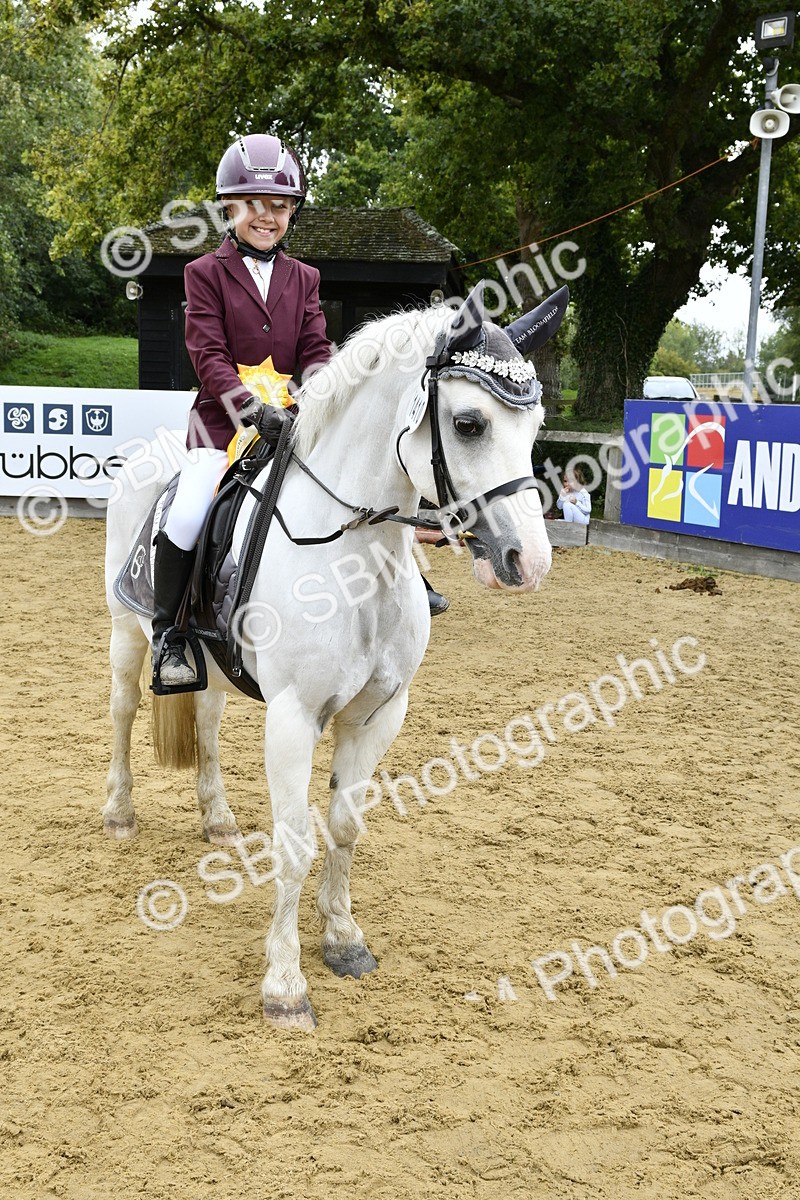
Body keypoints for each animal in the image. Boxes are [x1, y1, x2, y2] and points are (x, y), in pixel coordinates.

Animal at [103, 281, 566, 1031]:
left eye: (534, 427)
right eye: (469, 423)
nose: (529, 562)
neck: (357, 560)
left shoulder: (378, 715)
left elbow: (346, 826)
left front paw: (344, 938)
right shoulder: (292, 718)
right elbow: (295, 844)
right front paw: (285, 984)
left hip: (210, 666)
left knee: (205, 721)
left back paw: (217, 818)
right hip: (125, 630)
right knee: (122, 709)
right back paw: (118, 812)